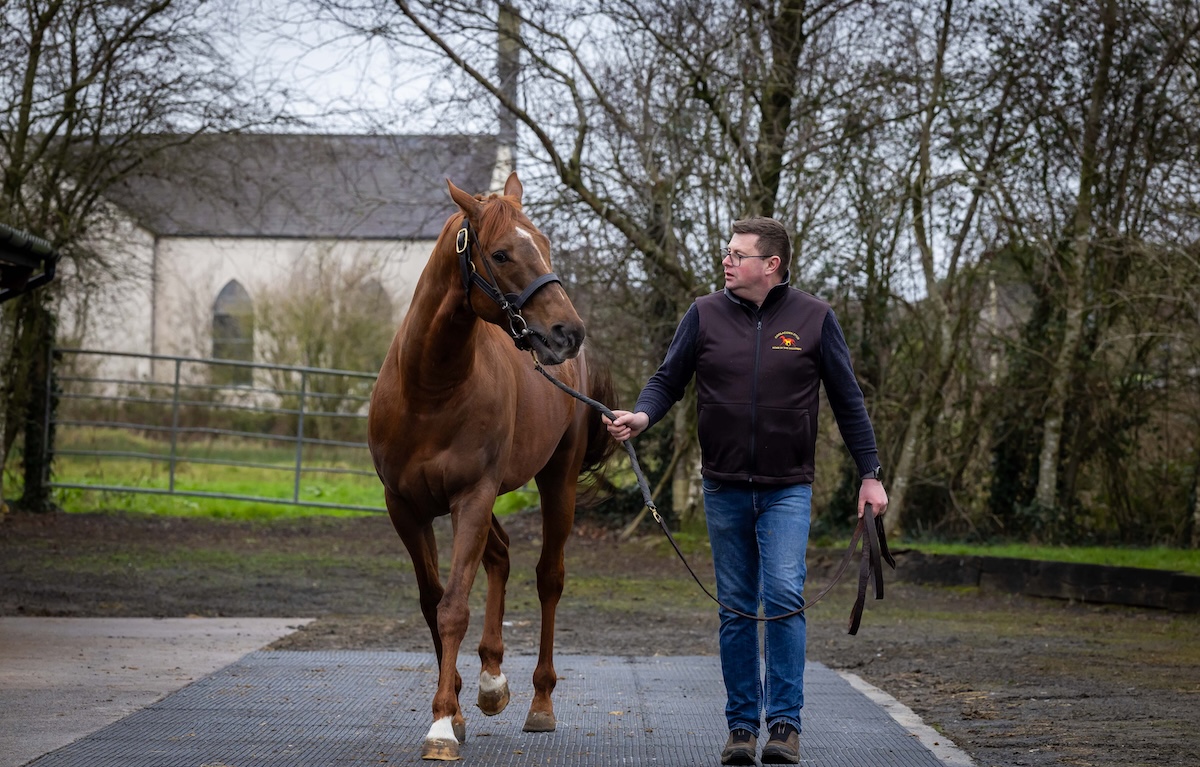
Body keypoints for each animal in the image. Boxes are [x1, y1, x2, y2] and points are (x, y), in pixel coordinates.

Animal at [367, 170, 614, 758]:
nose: (568, 333)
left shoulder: (472, 496)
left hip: (555, 481)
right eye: (501, 254)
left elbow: (455, 606)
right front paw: (454, 711)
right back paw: (490, 681)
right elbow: (433, 603)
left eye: (544, 244)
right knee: (499, 556)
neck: (429, 390)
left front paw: (440, 725)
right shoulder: (406, 508)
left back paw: (539, 703)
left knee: (548, 578)